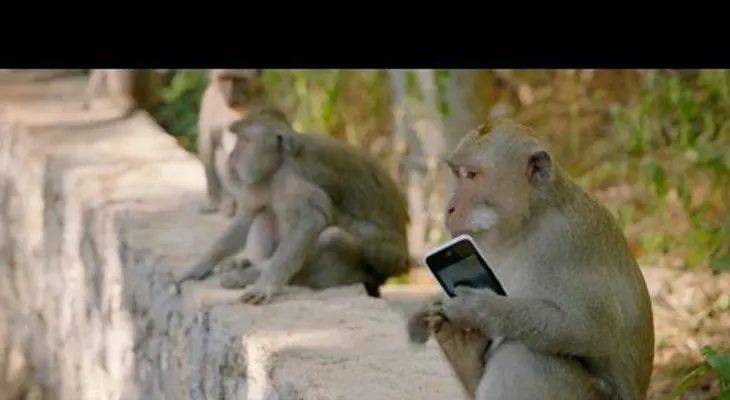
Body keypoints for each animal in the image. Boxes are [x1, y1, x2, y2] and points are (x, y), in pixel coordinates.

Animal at [175, 114, 411, 304]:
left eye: (245, 141)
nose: (232, 157)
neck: (278, 165)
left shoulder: (293, 180)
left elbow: (311, 218)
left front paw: (266, 284)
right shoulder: (260, 181)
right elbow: (247, 216)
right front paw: (198, 267)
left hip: (377, 262)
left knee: (333, 236)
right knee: (265, 213)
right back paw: (252, 262)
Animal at [404, 120, 655, 400]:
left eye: (472, 175)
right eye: (457, 174)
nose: (448, 208)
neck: (529, 220)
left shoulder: (563, 241)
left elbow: (595, 330)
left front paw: (478, 309)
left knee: (522, 355)